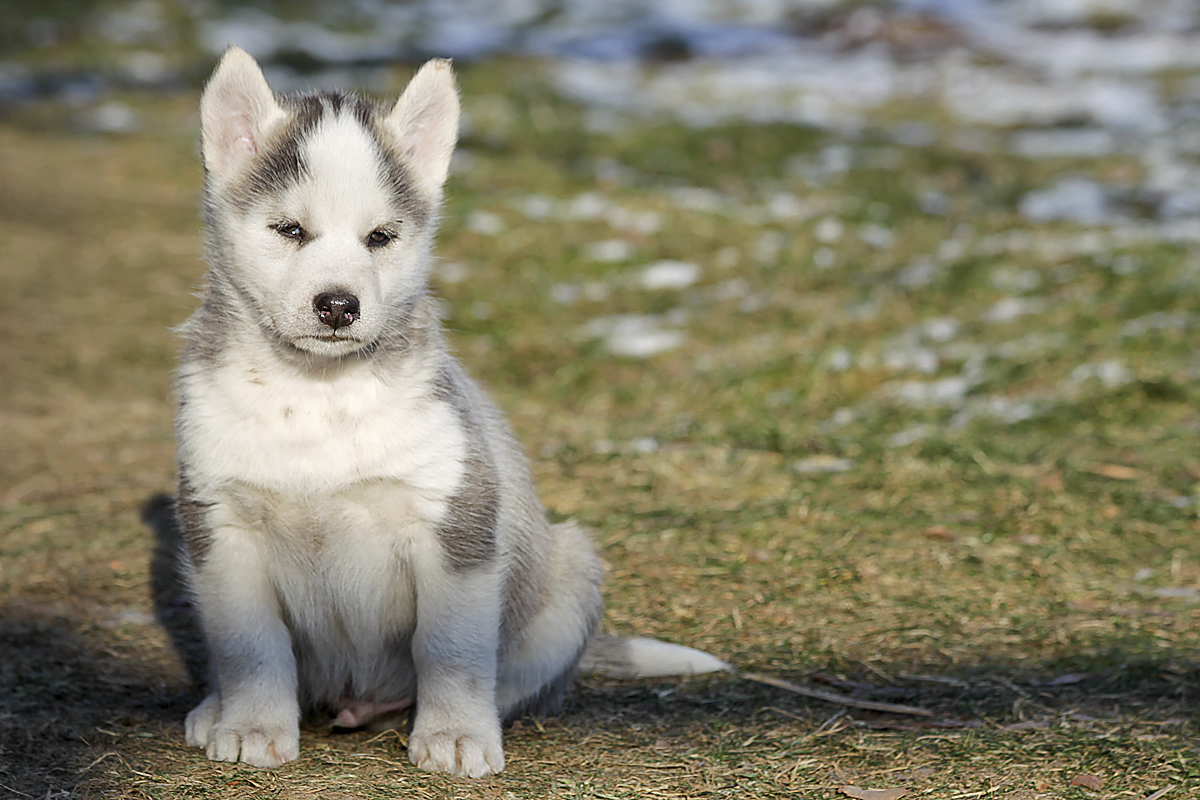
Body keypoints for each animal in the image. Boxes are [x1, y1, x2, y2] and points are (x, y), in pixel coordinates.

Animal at [175, 47, 724, 777]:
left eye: (381, 237)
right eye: (290, 230)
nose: (339, 305)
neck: (319, 394)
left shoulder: (454, 524)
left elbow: (453, 649)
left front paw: (456, 735)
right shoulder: (221, 525)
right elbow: (250, 646)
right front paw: (252, 725)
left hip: (571, 570)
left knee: (506, 675)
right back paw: (214, 709)